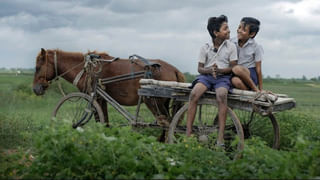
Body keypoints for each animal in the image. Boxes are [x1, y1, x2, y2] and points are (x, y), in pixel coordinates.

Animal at [32, 47, 185, 129]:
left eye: (38, 67)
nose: (35, 89)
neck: (88, 70)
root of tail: (175, 69)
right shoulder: (101, 99)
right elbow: (105, 122)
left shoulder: (95, 99)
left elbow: (98, 121)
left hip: (154, 102)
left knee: (167, 124)